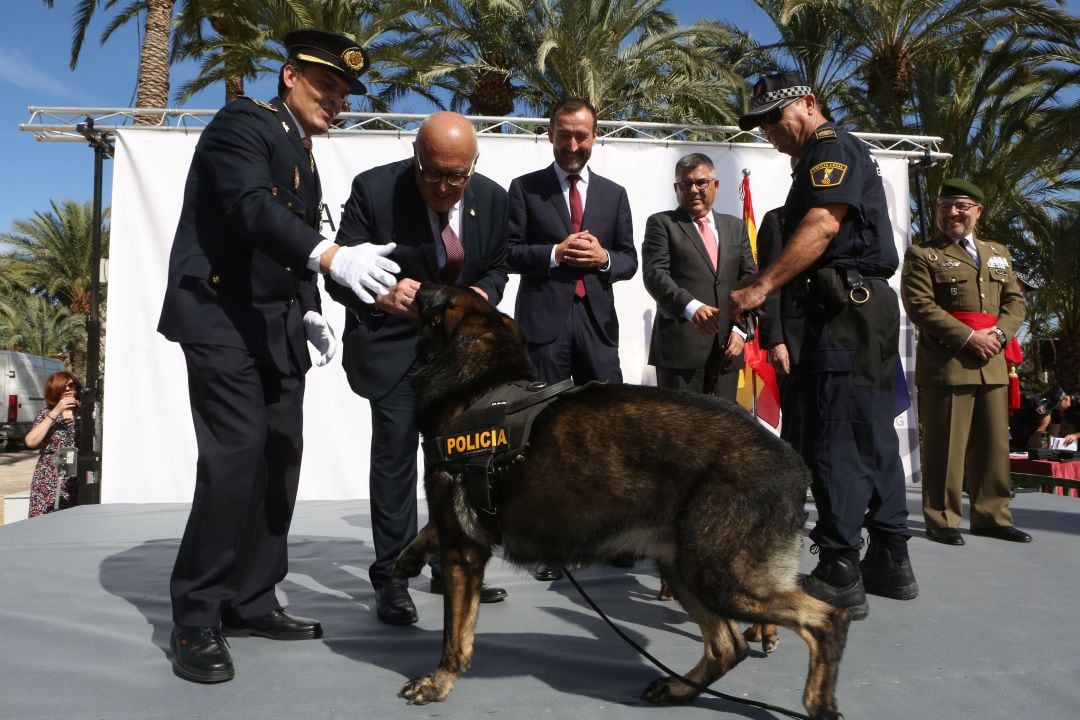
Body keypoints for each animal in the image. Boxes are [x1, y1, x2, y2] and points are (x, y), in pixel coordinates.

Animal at [393, 284, 846, 716]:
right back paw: (678, 689)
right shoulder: (459, 532)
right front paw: (408, 558)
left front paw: (439, 683)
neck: (477, 386)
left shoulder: (462, 552)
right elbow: (429, 529)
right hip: (683, 568)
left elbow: (454, 634)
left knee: (826, 618)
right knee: (728, 646)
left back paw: (819, 703)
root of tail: (794, 464)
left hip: (721, 576)